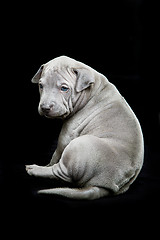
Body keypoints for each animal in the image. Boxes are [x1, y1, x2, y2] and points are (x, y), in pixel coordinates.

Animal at [26, 55, 144, 199]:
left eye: (64, 88)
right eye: (40, 85)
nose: (45, 108)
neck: (92, 90)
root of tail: (105, 184)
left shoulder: (67, 134)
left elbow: (56, 153)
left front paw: (48, 163)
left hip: (78, 145)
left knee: (59, 172)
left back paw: (35, 169)